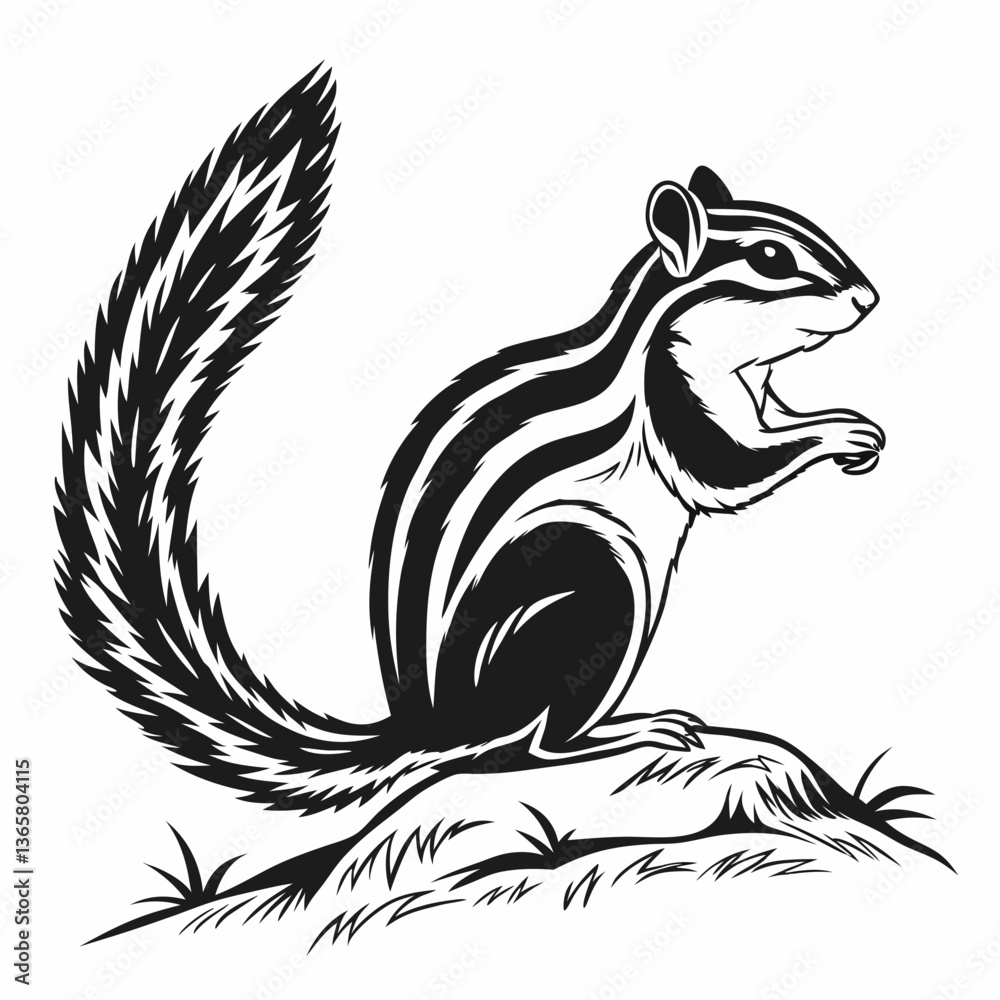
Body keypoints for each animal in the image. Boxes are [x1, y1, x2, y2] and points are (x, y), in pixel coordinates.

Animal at [57, 67, 884, 833]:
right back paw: (628, 731)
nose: (869, 298)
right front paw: (845, 433)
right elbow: (727, 471)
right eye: (772, 259)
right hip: (592, 583)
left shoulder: (753, 396)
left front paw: (852, 427)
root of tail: (432, 723)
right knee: (539, 743)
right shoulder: (673, 398)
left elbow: (767, 432)